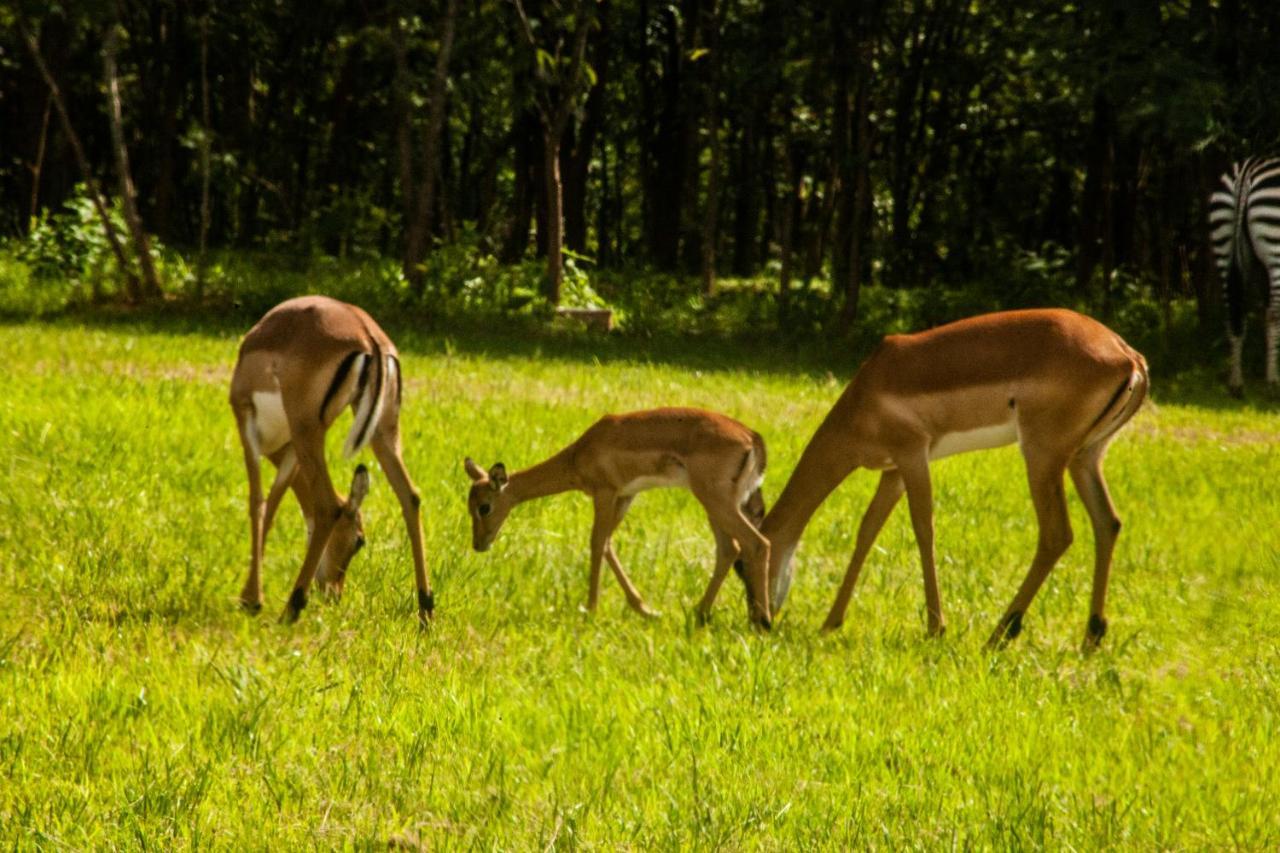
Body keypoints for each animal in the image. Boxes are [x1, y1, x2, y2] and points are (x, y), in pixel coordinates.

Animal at [1208, 156, 1280, 394]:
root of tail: (1247, 172)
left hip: (1223, 240)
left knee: (1234, 312)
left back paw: (1236, 382)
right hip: (1275, 249)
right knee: (1273, 313)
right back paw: (1272, 381)